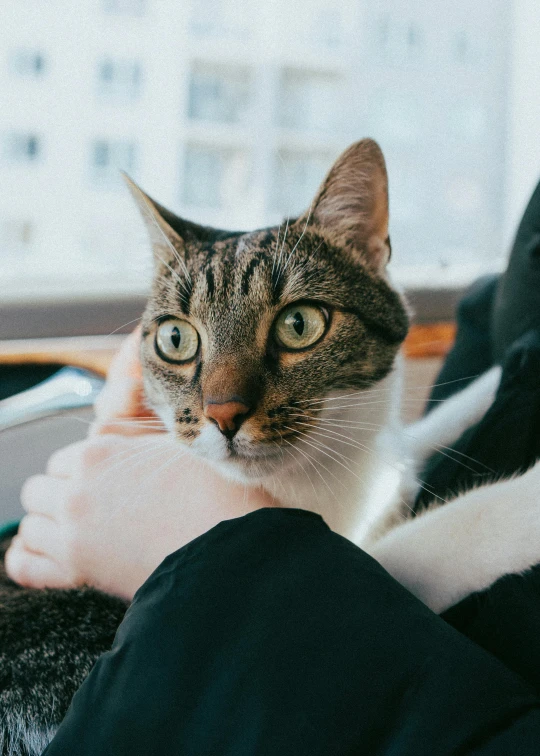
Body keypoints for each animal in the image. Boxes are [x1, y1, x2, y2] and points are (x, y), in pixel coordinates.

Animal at [1, 139, 540, 752]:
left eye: (299, 324)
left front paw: (499, 376)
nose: (223, 413)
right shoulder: (366, 564)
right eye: (176, 338)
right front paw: (526, 499)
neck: (327, 476)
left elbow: (418, 438)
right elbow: (442, 537)